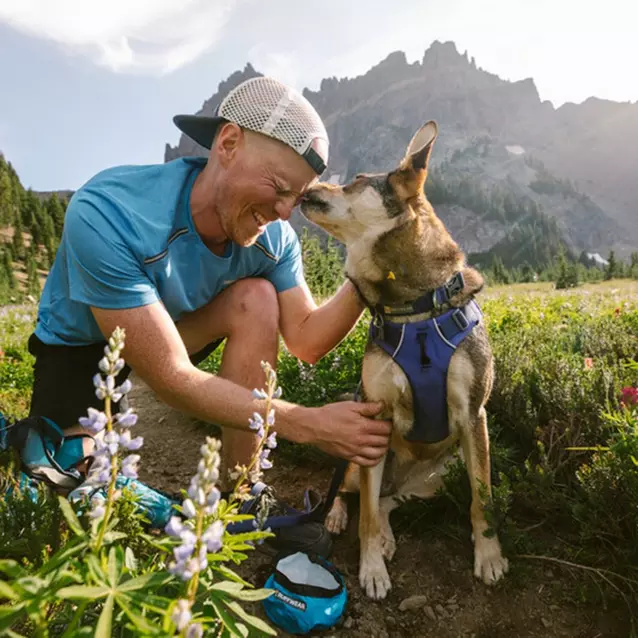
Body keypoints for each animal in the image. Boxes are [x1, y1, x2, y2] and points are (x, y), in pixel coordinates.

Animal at [300, 122, 510, 604]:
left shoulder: (474, 414)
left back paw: (388, 534)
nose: (305, 186)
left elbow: (482, 499)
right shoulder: (374, 414)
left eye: (357, 179)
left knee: (386, 502)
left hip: (435, 479)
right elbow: (364, 517)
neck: (414, 308)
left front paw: (489, 556)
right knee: (352, 492)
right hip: (361, 453)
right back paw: (339, 517)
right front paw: (372, 568)